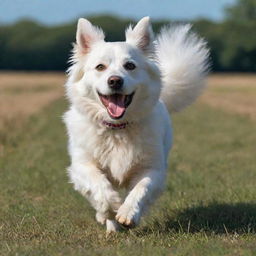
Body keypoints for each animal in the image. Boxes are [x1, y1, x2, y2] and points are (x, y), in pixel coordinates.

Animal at [63, 17, 209, 233]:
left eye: (130, 66)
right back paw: (108, 224)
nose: (115, 81)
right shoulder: (82, 165)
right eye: (100, 67)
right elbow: (99, 185)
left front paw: (128, 214)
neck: (117, 128)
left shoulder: (153, 169)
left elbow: (141, 189)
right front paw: (112, 207)